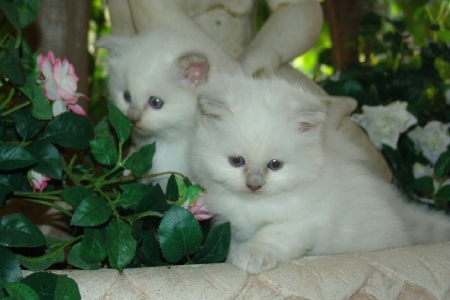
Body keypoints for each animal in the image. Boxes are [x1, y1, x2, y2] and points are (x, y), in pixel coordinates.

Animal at [190, 74, 450, 274]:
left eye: (275, 164)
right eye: (236, 161)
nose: (254, 185)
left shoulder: (306, 221)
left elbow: (273, 234)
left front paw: (252, 255)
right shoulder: (230, 223)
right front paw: (234, 254)